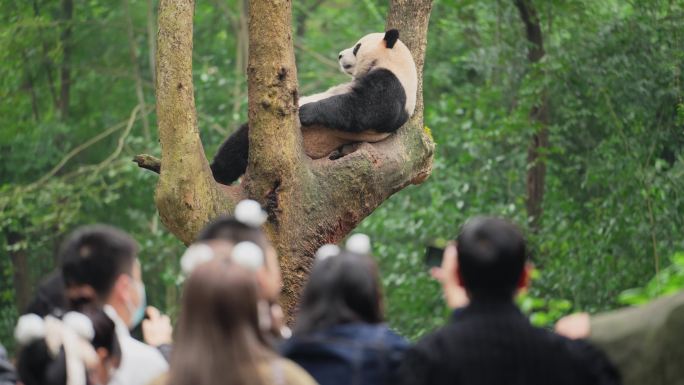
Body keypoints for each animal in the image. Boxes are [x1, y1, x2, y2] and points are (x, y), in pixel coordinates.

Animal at [210, 29, 416, 184]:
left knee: (238, 142)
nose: (340, 55)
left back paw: (218, 173)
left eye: (357, 47)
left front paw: (305, 112)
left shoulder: (393, 85)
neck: (395, 63)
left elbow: (366, 108)